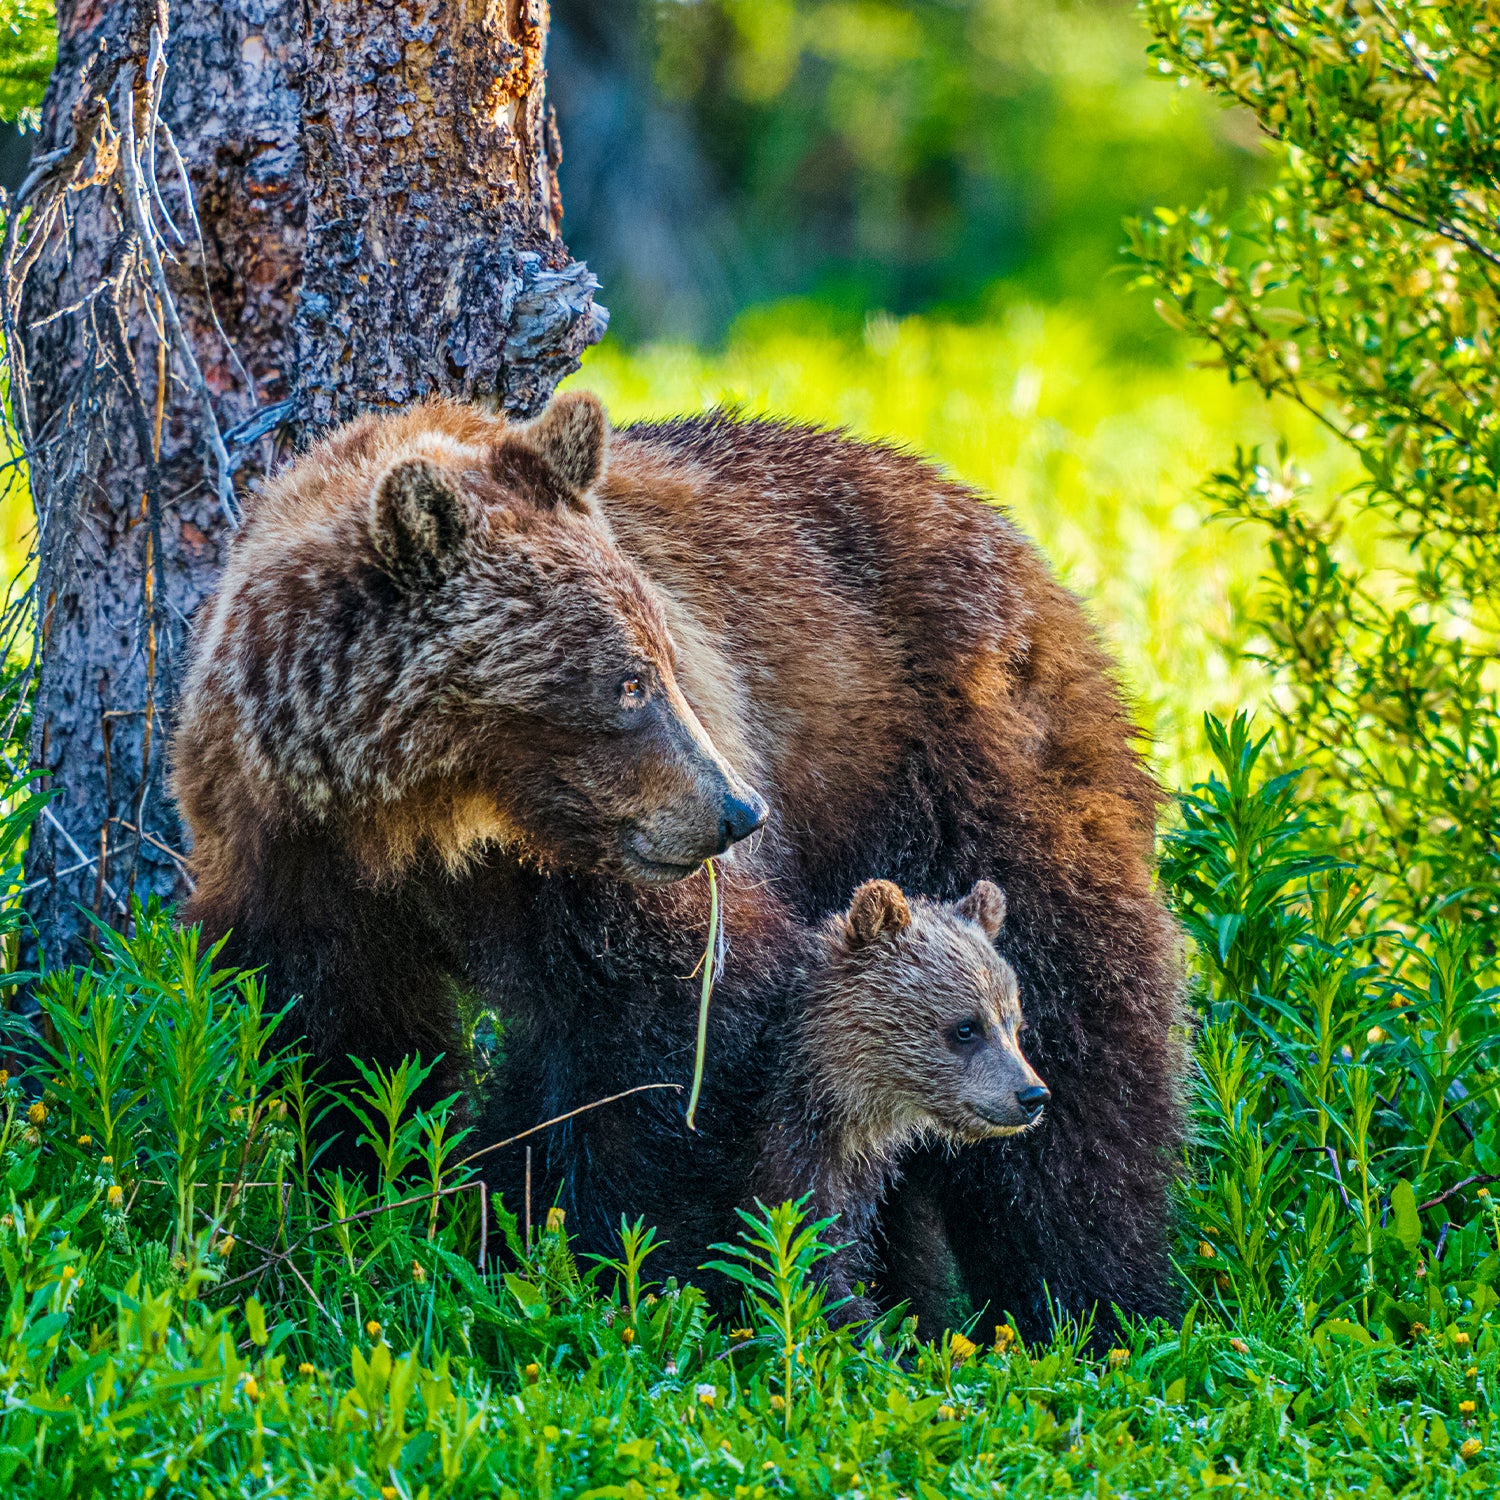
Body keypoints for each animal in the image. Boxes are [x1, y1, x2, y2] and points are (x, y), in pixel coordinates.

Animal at [172, 393, 1182, 1344]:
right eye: (627, 682)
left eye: (663, 657)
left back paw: (1096, 1304)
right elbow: (350, 1049)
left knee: (1081, 1033)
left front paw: (634, 1265)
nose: (737, 810)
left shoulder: (596, 876)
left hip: (957, 770)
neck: (423, 822)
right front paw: (386, 1198)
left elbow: (676, 1031)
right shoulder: (296, 864)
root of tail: (1003, 529)